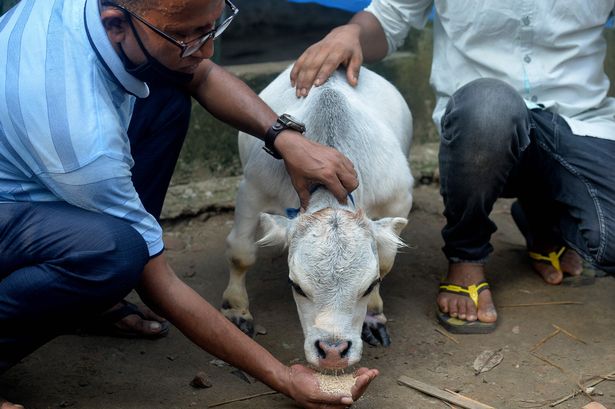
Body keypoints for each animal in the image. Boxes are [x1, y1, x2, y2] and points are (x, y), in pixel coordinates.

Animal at [221, 64, 414, 370]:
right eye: (296, 286)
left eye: (369, 286)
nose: (333, 351)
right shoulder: (253, 190)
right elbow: (241, 252)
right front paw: (236, 309)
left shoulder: (398, 200)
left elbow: (384, 261)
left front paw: (373, 314)